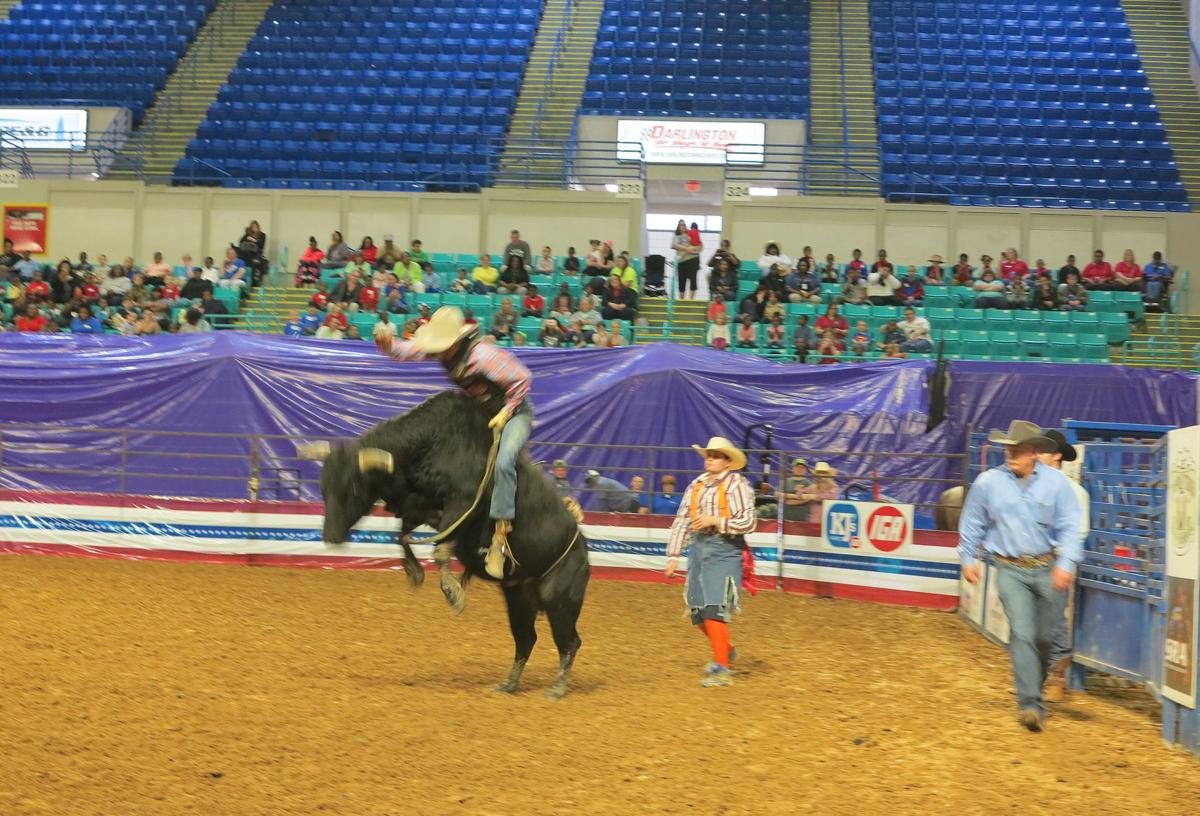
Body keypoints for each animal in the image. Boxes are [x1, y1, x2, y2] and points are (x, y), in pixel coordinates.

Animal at [309, 391, 590, 696]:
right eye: (323, 488)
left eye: (353, 487)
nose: (330, 536)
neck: (430, 445)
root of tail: (582, 548)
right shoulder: (419, 508)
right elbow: (404, 534)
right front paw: (414, 571)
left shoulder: (463, 504)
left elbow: (442, 550)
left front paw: (453, 593)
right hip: (519, 599)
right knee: (526, 639)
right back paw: (509, 683)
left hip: (560, 599)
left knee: (570, 642)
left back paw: (557, 688)